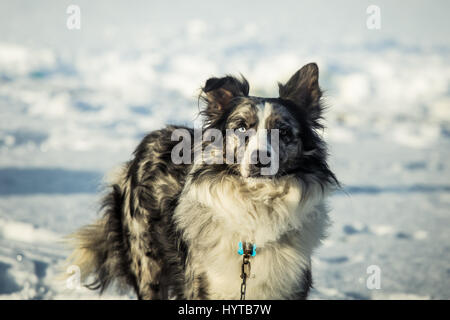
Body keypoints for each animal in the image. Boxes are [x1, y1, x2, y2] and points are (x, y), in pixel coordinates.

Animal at [67, 63, 338, 300]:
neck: (257, 203)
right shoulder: (203, 284)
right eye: (241, 127)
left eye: (283, 131)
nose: (260, 159)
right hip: (147, 263)